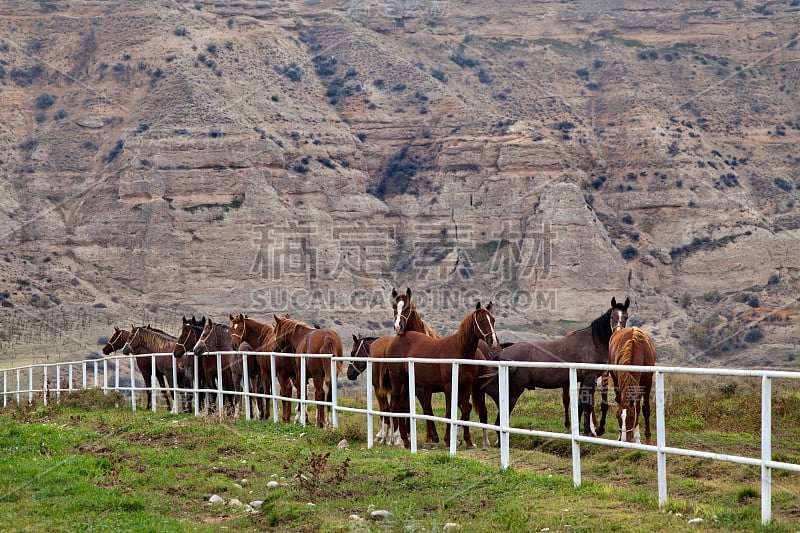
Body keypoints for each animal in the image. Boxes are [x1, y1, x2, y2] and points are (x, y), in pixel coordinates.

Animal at [478, 298, 628, 438]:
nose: (617, 333)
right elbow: (587, 405)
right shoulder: (589, 379)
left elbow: (580, 405)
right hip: (513, 392)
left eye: (625, 317)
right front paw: (588, 432)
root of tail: (501, 354)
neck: (592, 342)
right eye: (612, 317)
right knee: (499, 423)